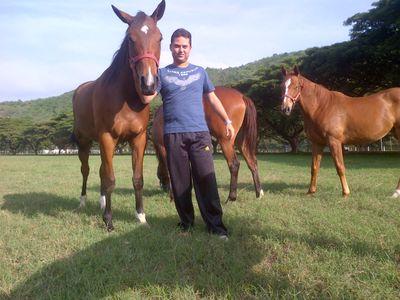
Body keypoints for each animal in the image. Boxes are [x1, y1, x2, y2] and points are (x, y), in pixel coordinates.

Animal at [72, 1, 165, 231]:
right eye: (131, 38)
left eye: (160, 37)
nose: (148, 84)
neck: (125, 97)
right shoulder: (107, 137)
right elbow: (110, 179)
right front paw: (108, 220)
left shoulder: (138, 139)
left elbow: (137, 178)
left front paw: (141, 216)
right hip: (85, 142)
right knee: (86, 170)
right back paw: (83, 201)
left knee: (100, 172)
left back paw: (101, 202)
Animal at [280, 66, 400, 197]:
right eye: (282, 85)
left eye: (296, 86)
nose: (285, 108)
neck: (322, 107)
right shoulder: (317, 143)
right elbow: (314, 167)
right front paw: (311, 191)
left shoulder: (334, 141)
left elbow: (339, 167)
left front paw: (345, 192)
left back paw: (395, 192)